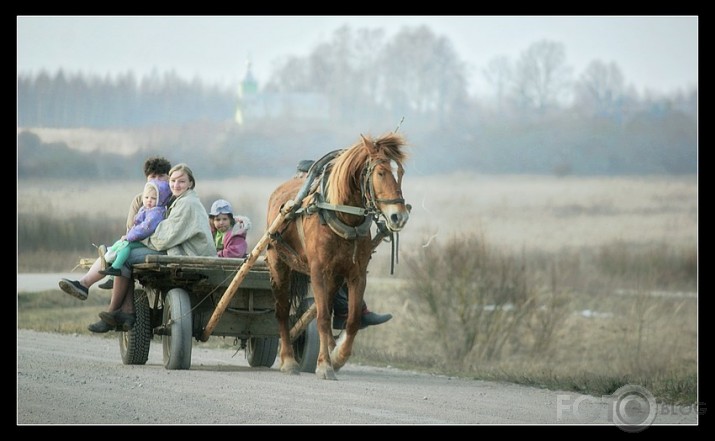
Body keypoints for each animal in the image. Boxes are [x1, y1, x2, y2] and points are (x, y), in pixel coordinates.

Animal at [264, 132, 412, 380]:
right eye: (381, 173)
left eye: (400, 173)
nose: (399, 217)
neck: (342, 216)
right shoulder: (317, 272)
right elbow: (323, 318)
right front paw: (324, 364)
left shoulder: (356, 274)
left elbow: (352, 320)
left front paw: (337, 357)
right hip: (279, 264)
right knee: (282, 311)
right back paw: (288, 360)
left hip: (333, 277)